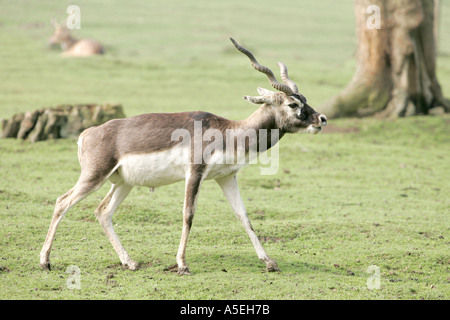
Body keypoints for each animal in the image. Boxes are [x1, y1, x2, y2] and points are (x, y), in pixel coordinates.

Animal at [39, 38, 326, 276]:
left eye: (305, 99)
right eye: (292, 104)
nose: (321, 119)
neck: (229, 131)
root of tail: (88, 133)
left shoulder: (227, 178)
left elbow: (244, 216)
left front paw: (269, 262)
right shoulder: (194, 173)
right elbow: (188, 214)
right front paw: (182, 264)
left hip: (123, 182)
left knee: (102, 212)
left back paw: (130, 262)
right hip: (94, 176)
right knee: (62, 202)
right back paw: (45, 261)